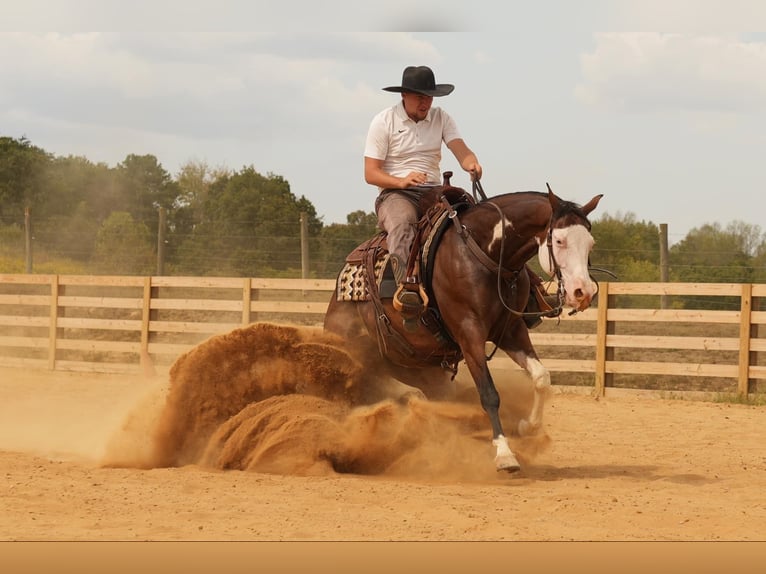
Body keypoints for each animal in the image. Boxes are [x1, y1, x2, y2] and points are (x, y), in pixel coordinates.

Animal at [324, 183, 608, 472]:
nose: (583, 292)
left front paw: (526, 427)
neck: (486, 254)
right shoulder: (469, 333)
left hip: (413, 367)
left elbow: (541, 378)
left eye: (590, 243)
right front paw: (505, 454)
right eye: (560, 241)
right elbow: (489, 394)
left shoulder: (511, 330)